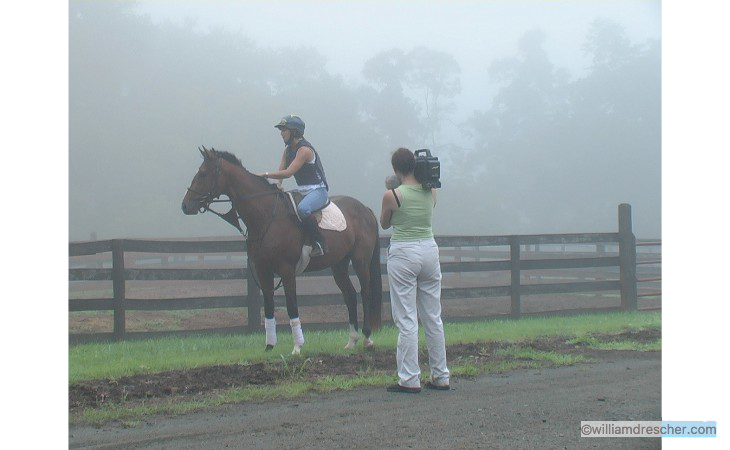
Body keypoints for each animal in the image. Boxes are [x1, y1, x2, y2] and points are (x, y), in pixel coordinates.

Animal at [181, 148, 382, 356]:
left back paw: (367, 338)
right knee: (350, 295)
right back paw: (351, 341)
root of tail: (364, 209)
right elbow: (269, 306)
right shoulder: (263, 270)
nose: (186, 205)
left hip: (360, 261)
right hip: (339, 265)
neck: (267, 216)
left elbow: (291, 306)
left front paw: (297, 346)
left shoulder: (287, 271)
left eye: (203, 173)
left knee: (365, 292)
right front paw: (269, 345)